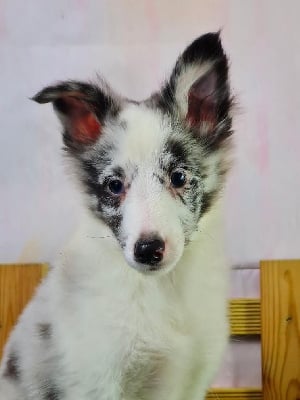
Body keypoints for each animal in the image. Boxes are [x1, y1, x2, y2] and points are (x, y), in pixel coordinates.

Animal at [0, 32, 234, 400]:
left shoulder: (194, 377)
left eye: (179, 177)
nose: (148, 250)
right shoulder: (95, 378)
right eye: (114, 185)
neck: (159, 290)